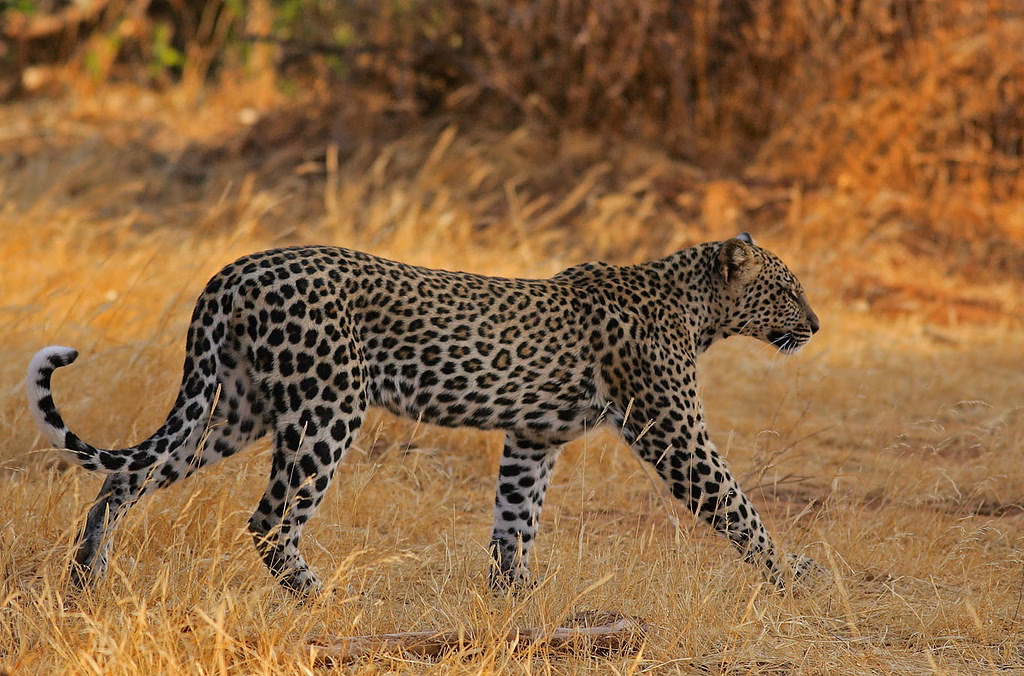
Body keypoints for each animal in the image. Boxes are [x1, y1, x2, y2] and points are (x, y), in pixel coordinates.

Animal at [27, 233, 820, 597]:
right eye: (788, 289)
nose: (815, 326)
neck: (697, 309)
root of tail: (236, 270)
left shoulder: (533, 437)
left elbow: (515, 518)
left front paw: (513, 597)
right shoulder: (670, 430)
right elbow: (736, 504)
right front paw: (792, 577)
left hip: (236, 408)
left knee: (126, 476)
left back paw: (85, 578)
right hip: (326, 406)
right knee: (269, 518)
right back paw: (319, 597)